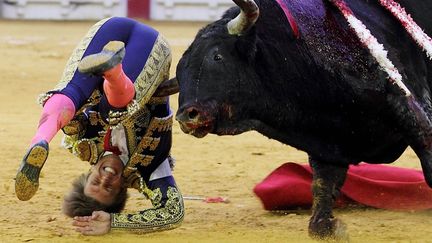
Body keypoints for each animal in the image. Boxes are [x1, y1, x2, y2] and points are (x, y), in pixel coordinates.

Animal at [170, 0, 432, 240]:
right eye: (179, 71)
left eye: (217, 56)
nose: (187, 115)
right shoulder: (328, 142)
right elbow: (321, 198)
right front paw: (333, 228)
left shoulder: (408, 106)